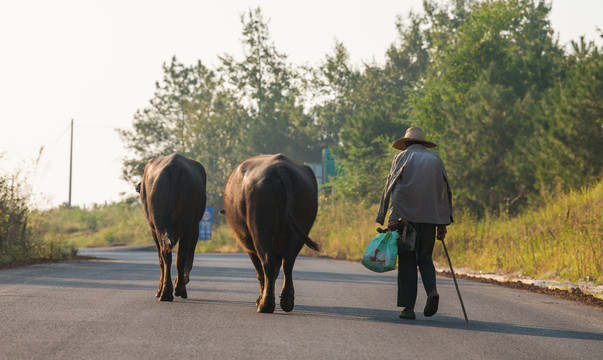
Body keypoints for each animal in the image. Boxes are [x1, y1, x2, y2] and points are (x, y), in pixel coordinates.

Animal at [137, 153, 208, 300]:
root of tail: (174, 167)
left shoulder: (153, 229)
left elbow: (160, 259)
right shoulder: (194, 227)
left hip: (163, 223)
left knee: (167, 253)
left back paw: (167, 291)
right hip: (186, 222)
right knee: (179, 254)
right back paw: (175, 289)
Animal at [223, 153, 320, 312]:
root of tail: (280, 168)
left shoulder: (249, 246)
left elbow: (261, 272)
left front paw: (259, 299)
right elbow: (275, 271)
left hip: (260, 229)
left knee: (267, 263)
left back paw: (265, 305)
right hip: (300, 228)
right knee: (288, 262)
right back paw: (286, 301)